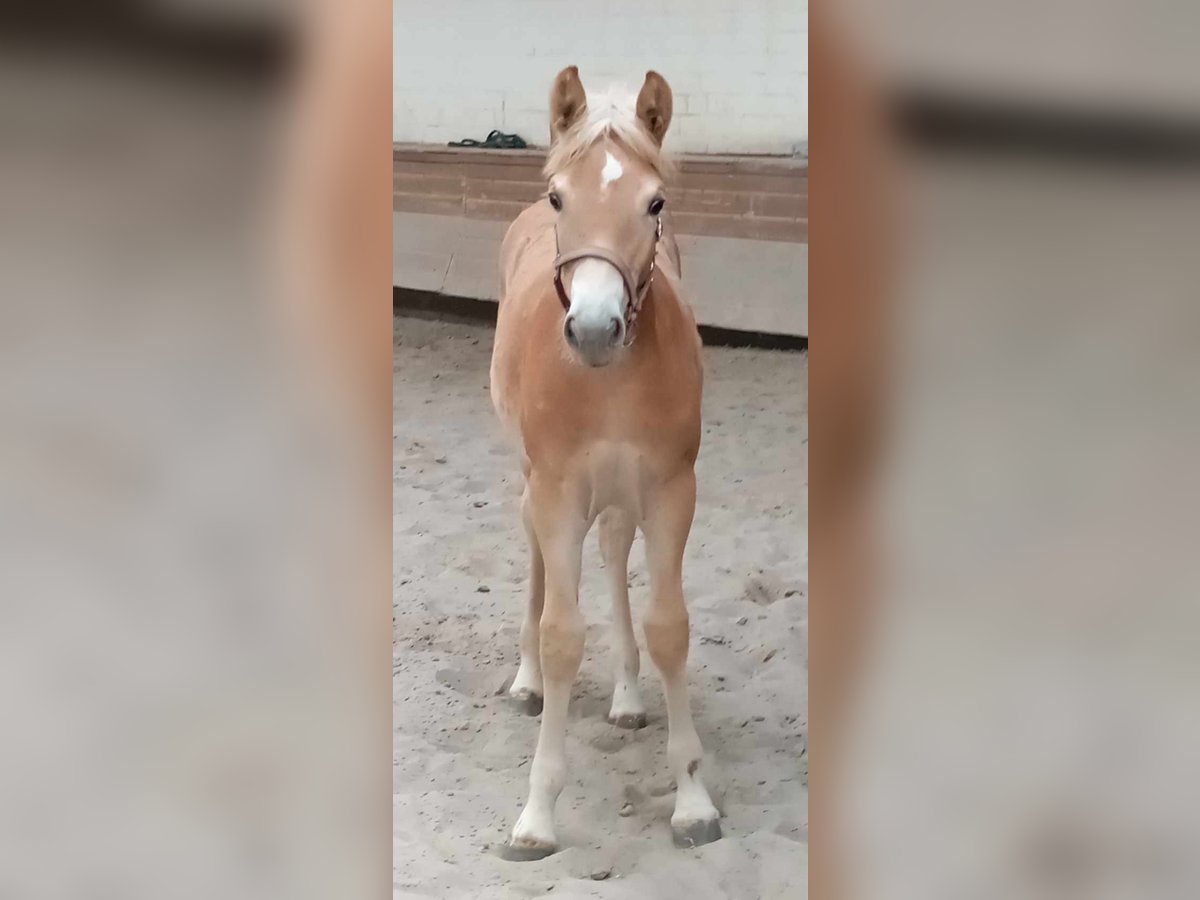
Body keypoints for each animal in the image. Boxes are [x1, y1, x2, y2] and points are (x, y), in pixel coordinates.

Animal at [487, 65, 720, 859]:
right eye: (562, 196)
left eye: (655, 203)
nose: (593, 328)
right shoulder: (558, 491)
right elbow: (562, 635)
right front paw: (535, 816)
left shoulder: (671, 489)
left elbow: (668, 627)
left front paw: (692, 800)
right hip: (533, 483)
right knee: (535, 558)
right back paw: (526, 683)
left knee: (617, 555)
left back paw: (625, 695)